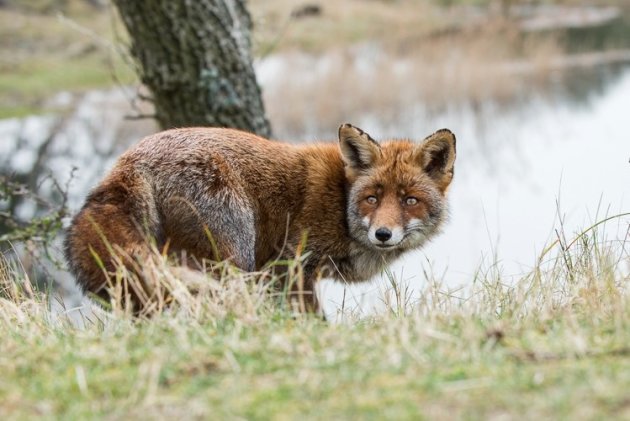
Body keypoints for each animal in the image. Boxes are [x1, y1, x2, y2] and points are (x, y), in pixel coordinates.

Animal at [64, 123, 456, 310]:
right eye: (372, 198)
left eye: (409, 200)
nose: (383, 234)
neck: (339, 202)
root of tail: (128, 162)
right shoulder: (291, 267)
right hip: (234, 253)